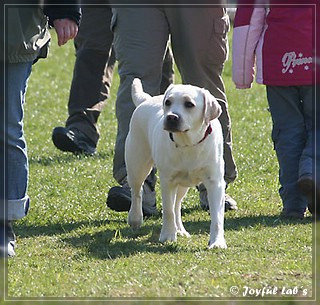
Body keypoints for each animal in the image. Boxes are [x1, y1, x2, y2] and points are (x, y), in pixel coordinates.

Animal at [126, 78, 226, 247]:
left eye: (189, 104)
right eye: (168, 102)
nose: (171, 117)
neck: (188, 144)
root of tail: (146, 100)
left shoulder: (215, 182)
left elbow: (217, 217)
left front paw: (217, 242)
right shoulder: (168, 180)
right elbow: (168, 211)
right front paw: (167, 235)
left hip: (183, 184)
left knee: (177, 204)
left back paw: (180, 230)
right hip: (137, 164)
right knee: (137, 191)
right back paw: (135, 218)